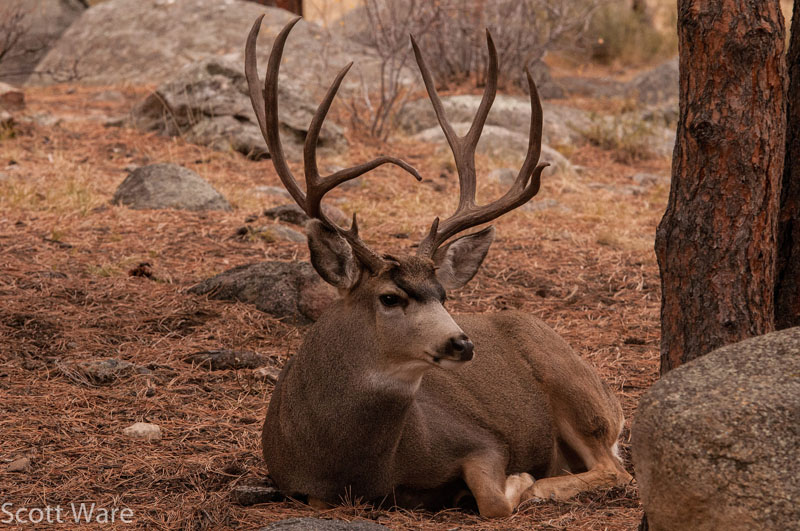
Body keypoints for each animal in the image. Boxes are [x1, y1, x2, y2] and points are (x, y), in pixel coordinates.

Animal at [244, 16, 632, 518]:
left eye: (444, 295)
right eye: (390, 297)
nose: (461, 343)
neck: (355, 465)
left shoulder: (481, 439)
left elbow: (495, 500)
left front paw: (521, 480)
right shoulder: (299, 484)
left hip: (577, 392)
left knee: (615, 469)